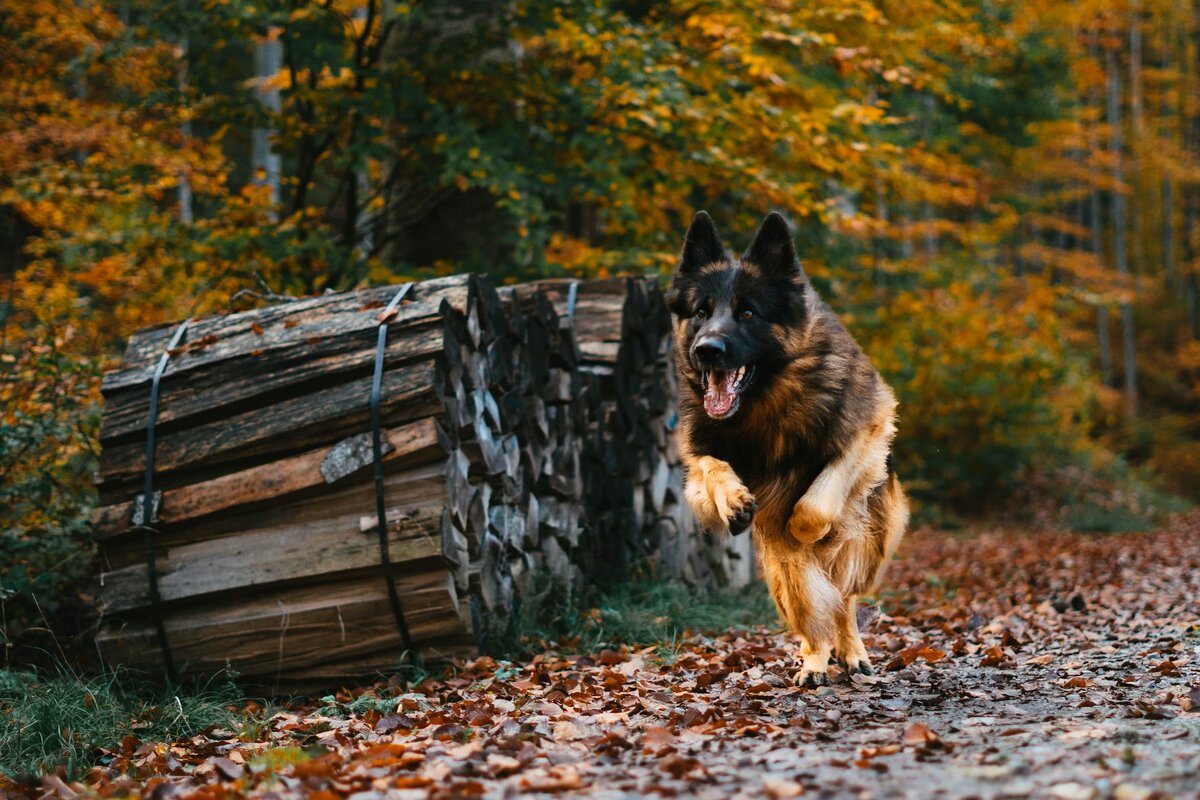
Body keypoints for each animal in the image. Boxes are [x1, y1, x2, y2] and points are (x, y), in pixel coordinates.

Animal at [667, 209, 907, 686]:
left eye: (747, 312)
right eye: (701, 312)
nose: (706, 350)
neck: (763, 402)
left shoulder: (868, 430)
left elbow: (816, 502)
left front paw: (808, 527)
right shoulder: (697, 458)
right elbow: (712, 467)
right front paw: (734, 502)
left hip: (866, 545)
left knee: (843, 599)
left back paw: (851, 652)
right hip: (782, 570)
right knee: (813, 609)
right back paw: (814, 660)